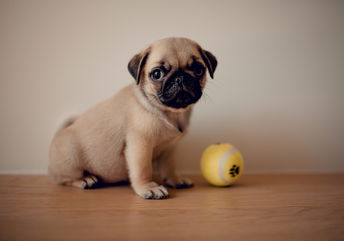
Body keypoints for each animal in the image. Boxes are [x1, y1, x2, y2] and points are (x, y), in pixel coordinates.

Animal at [48, 37, 216, 200]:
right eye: (157, 74)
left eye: (198, 69)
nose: (180, 78)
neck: (170, 113)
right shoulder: (140, 145)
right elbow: (143, 169)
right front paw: (148, 188)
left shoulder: (169, 149)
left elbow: (169, 167)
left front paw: (175, 180)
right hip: (70, 155)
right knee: (64, 179)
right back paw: (85, 179)